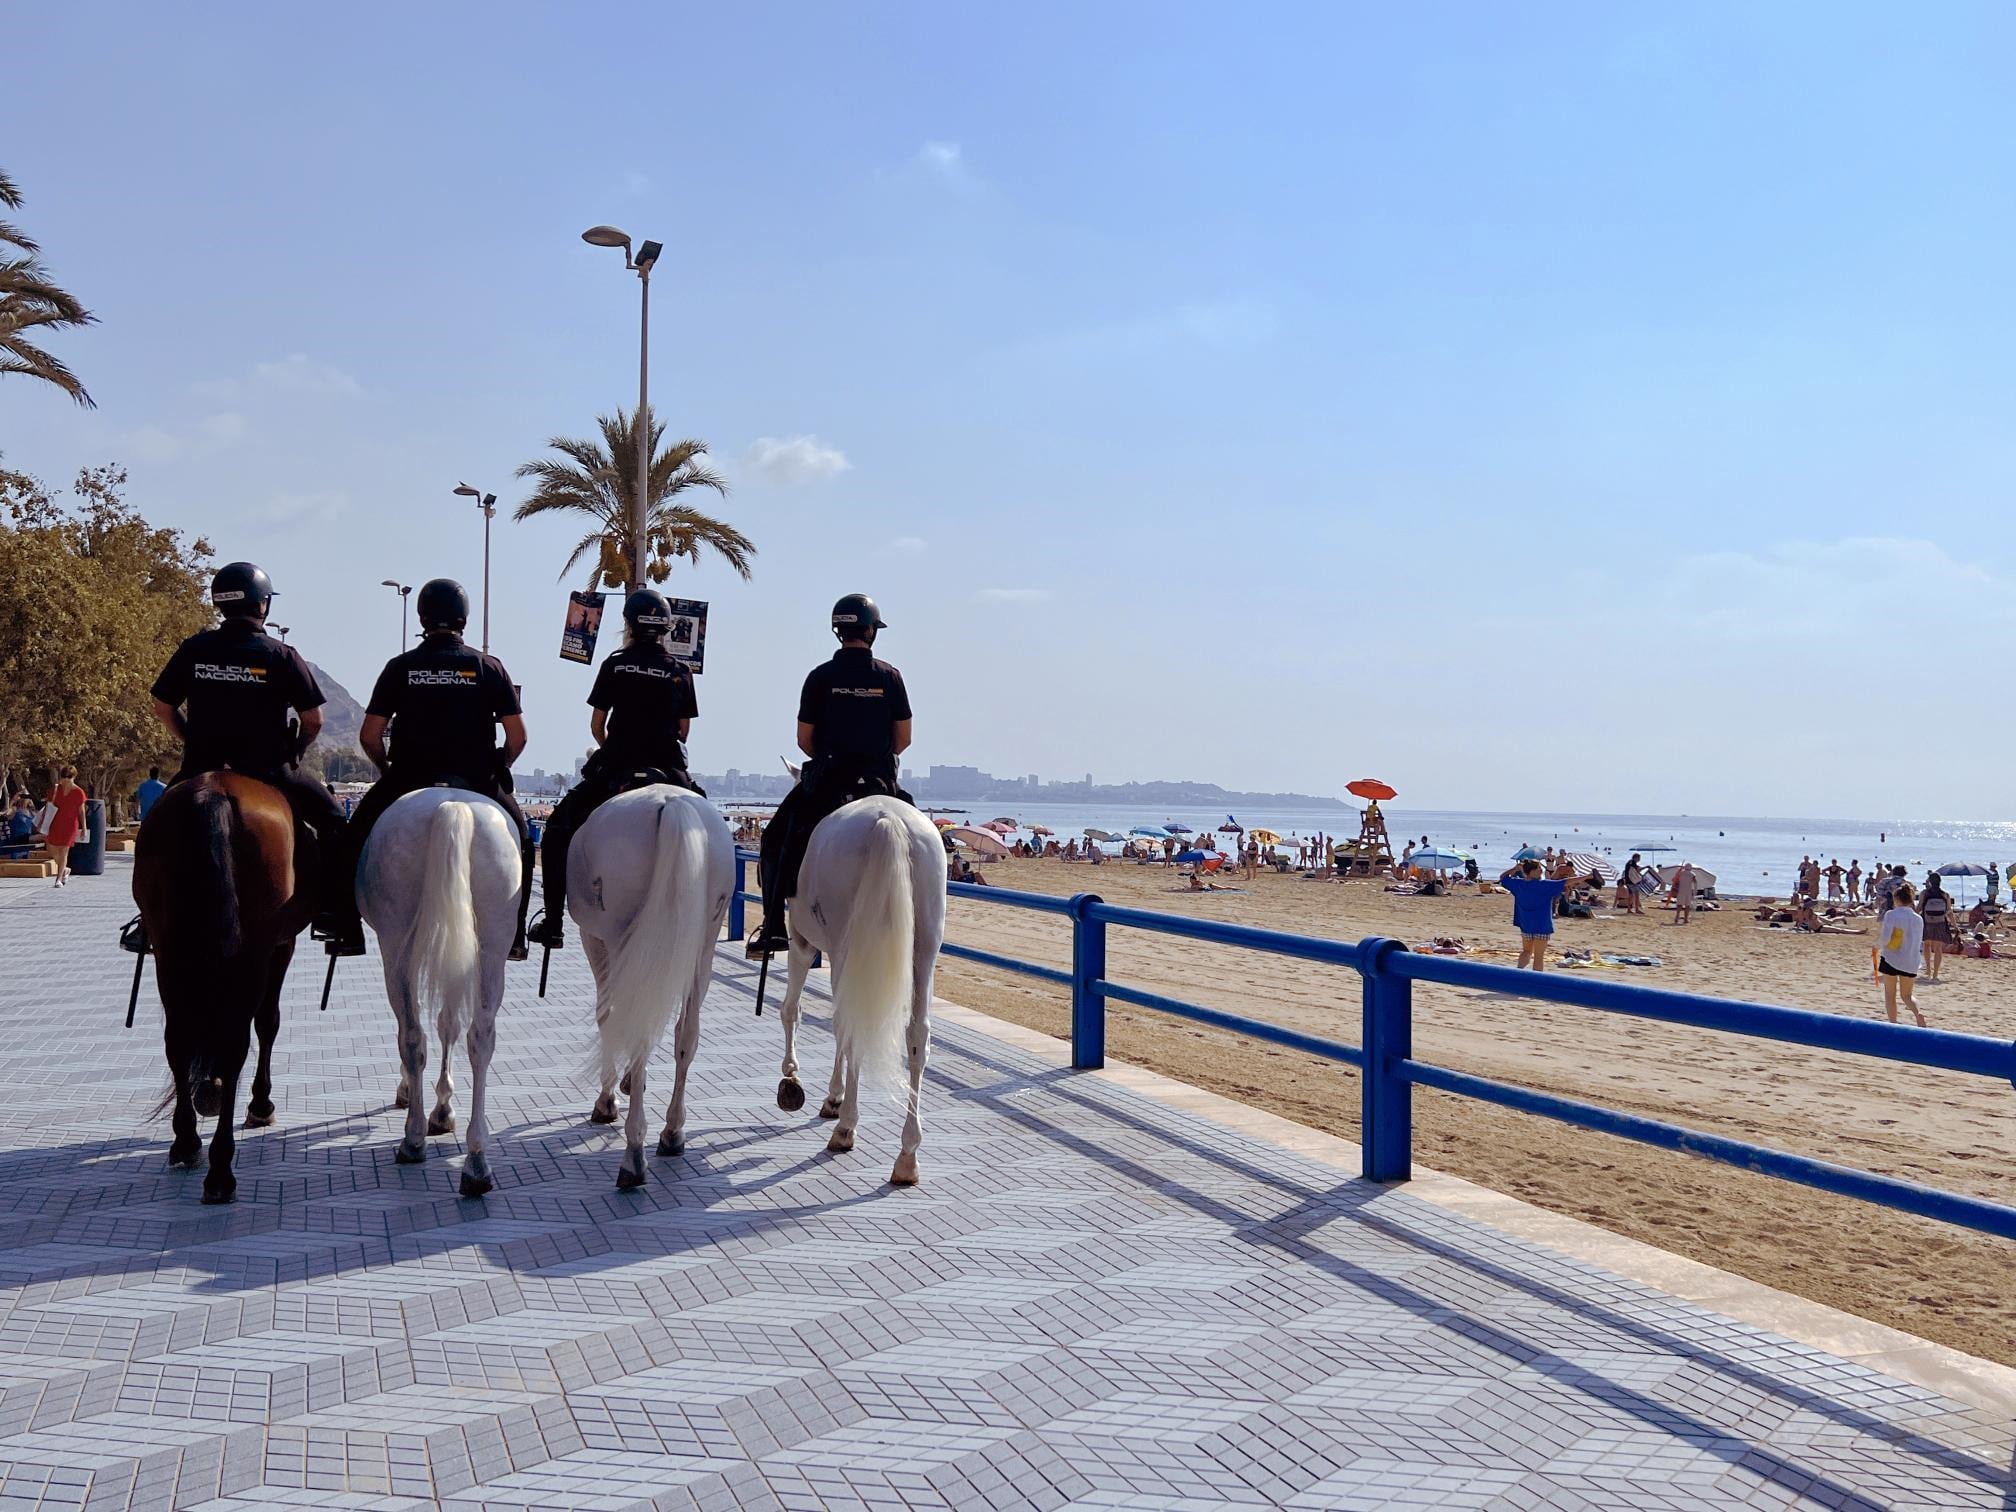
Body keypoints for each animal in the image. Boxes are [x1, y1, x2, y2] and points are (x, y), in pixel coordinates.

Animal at [136, 774, 312, 1201]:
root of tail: (214, 793)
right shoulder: (281, 946)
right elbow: (268, 1022)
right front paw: (260, 1103)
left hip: (169, 948)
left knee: (179, 1041)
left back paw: (189, 1144)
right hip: (259, 947)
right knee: (236, 1042)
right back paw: (218, 1166)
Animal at [358, 786, 524, 1201]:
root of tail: (453, 805)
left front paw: (421, 1099)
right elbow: (449, 1024)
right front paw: (444, 1107)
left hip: (395, 943)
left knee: (411, 1035)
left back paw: (413, 1138)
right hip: (492, 942)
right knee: (480, 1037)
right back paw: (477, 1163)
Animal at [568, 786, 733, 1193]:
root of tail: (671, 805)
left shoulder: (594, 940)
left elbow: (607, 1017)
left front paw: (608, 1099)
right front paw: (628, 1084)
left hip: (619, 937)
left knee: (633, 1021)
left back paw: (633, 1155)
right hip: (702, 946)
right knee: (685, 1035)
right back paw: (672, 1133)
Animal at [778, 798, 951, 1193]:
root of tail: (889, 820)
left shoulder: (801, 943)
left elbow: (793, 1010)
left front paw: (798, 1079)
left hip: (844, 945)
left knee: (848, 1022)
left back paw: (846, 1129)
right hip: (925, 951)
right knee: (917, 1037)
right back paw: (907, 1156)